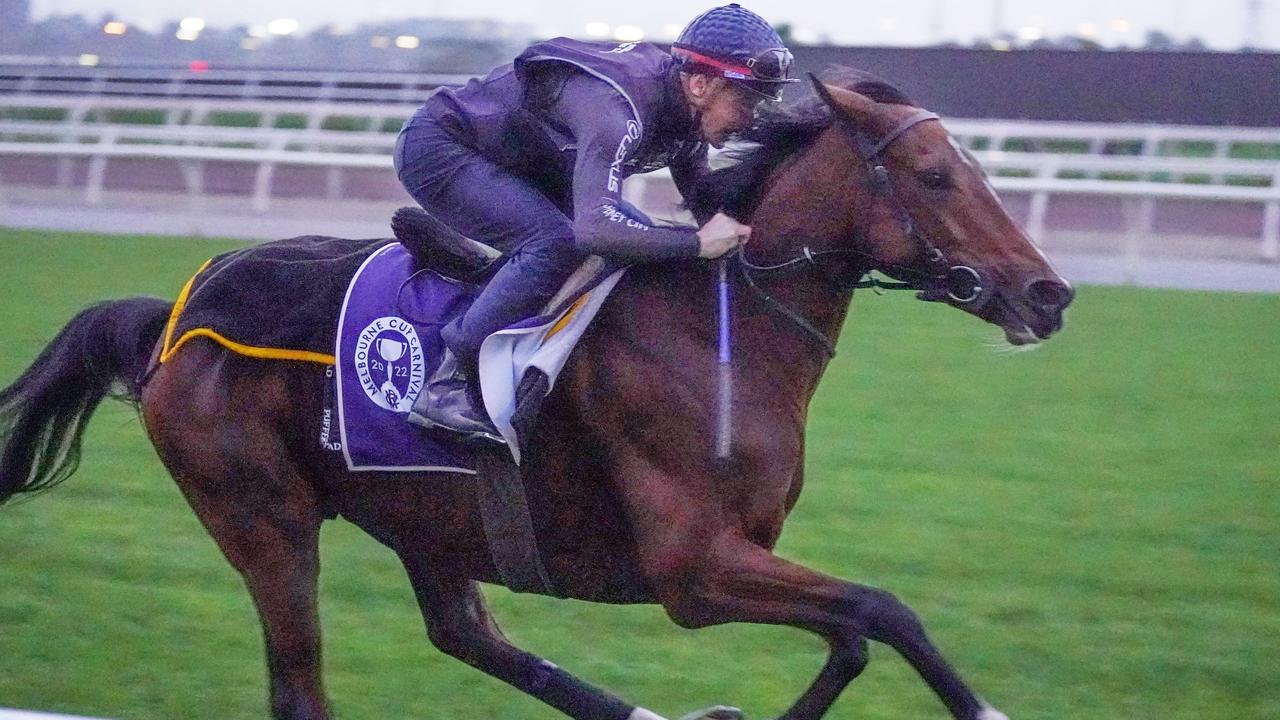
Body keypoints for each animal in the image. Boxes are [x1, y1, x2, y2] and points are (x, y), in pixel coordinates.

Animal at [2, 74, 1070, 717]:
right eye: (935, 175)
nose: (1047, 293)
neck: (716, 330)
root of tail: (174, 316)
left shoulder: (735, 555)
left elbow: (852, 635)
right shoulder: (691, 567)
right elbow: (885, 610)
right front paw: (984, 705)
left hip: (423, 515)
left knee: (465, 634)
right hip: (265, 518)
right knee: (304, 685)